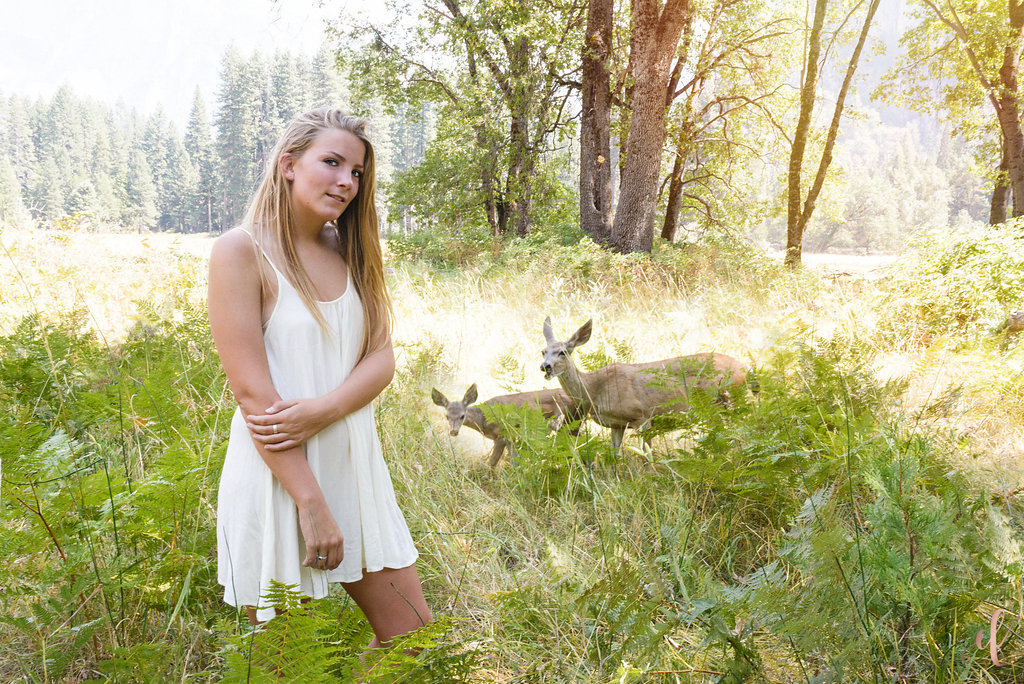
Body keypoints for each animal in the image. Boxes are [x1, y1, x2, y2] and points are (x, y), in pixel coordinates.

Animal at [430, 382, 585, 466]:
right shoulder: (510, 438)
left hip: (569, 421)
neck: (483, 419)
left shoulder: (501, 435)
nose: (453, 431)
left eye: (462, 416)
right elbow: (514, 460)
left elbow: (493, 462)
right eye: (446, 416)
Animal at [540, 317, 749, 454]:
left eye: (563, 352)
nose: (545, 366)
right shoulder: (616, 424)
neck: (594, 389)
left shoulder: (642, 416)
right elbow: (616, 455)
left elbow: (646, 457)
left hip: (718, 402)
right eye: (543, 351)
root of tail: (745, 368)